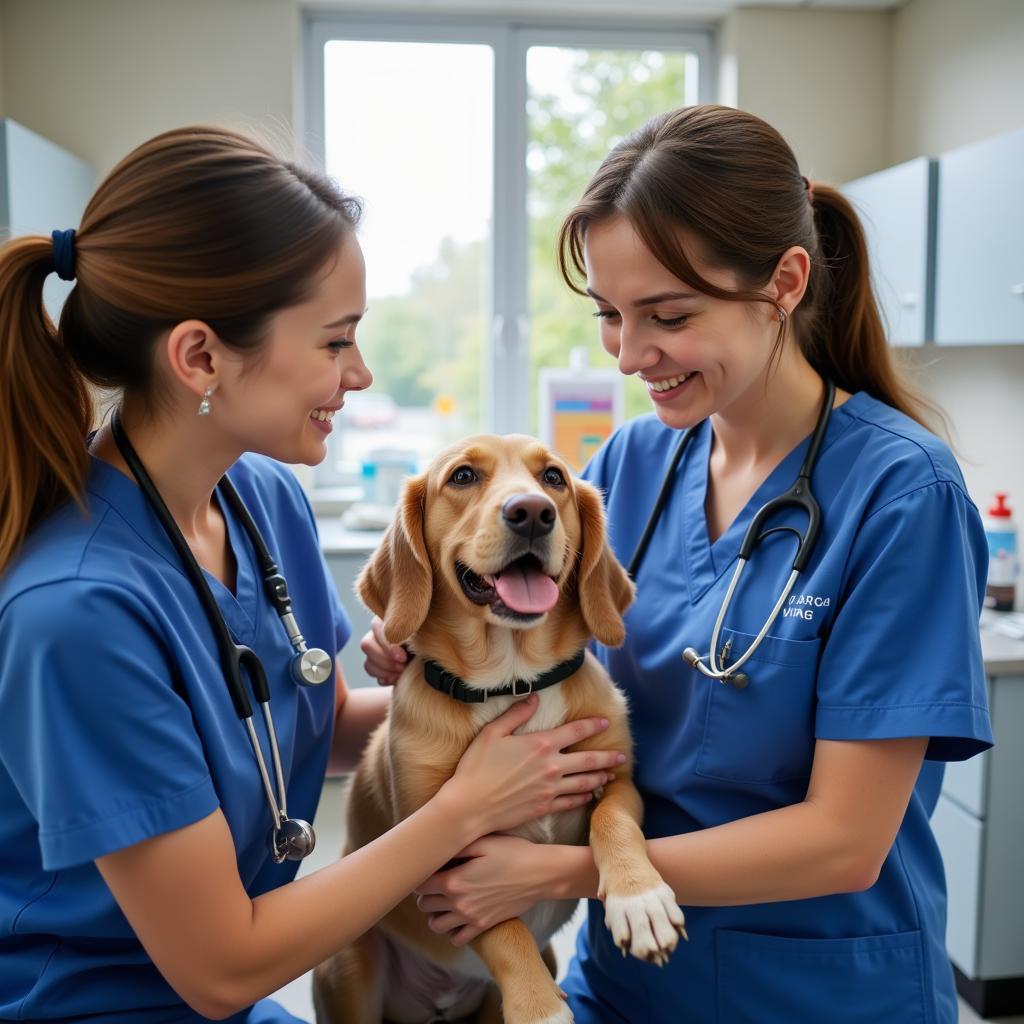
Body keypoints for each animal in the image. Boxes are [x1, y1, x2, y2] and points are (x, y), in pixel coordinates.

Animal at [311, 434, 688, 1024]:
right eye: (463, 476)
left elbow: (614, 824)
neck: (514, 681)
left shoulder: (620, 781)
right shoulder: (442, 852)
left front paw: (639, 898)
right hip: (348, 968)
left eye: (554, 478)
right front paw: (539, 1007)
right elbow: (501, 929)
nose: (532, 512)